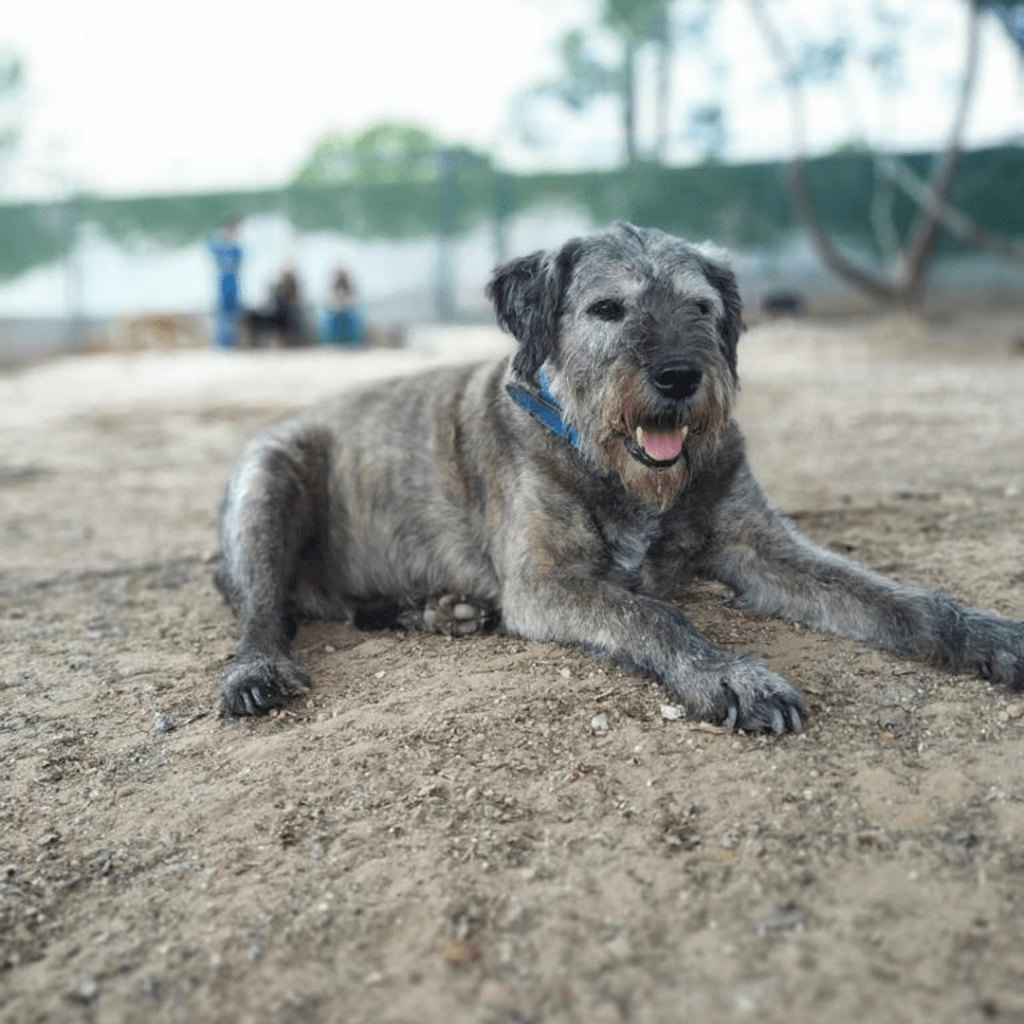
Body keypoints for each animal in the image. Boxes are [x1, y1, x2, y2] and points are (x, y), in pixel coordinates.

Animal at [216, 226, 1024, 737]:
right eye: (608, 309)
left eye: (701, 306)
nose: (679, 376)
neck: (613, 467)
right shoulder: (547, 586)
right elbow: (654, 615)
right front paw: (732, 677)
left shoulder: (764, 548)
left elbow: (897, 600)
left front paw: (990, 636)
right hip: (270, 477)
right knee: (264, 609)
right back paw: (260, 669)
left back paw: (440, 611)